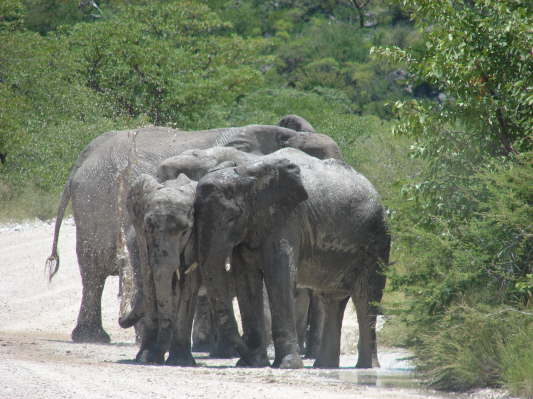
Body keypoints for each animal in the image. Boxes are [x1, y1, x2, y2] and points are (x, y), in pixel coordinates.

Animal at [193, 148, 388, 370]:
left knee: (366, 297)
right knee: (333, 299)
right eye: (194, 215)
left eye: (231, 218)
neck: (249, 172)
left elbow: (280, 275)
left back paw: (366, 367)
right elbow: (246, 279)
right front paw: (251, 363)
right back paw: (324, 366)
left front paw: (286, 365)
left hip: (377, 239)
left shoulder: (288, 219)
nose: (246, 358)